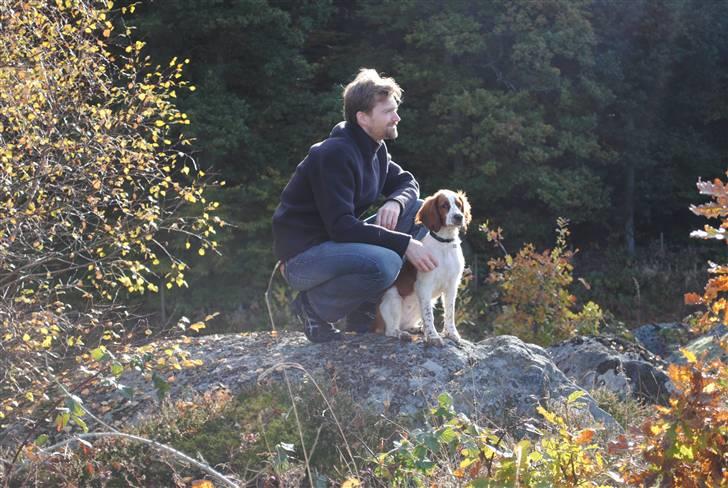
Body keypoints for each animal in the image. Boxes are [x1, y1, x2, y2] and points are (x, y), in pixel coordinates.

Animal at [376, 189, 472, 346]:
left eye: (459, 205)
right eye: (444, 206)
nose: (459, 217)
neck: (445, 243)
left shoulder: (452, 286)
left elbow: (450, 312)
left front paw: (452, 334)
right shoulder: (424, 285)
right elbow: (429, 315)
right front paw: (433, 337)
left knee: (406, 325)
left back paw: (416, 329)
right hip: (393, 298)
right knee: (390, 330)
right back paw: (402, 334)